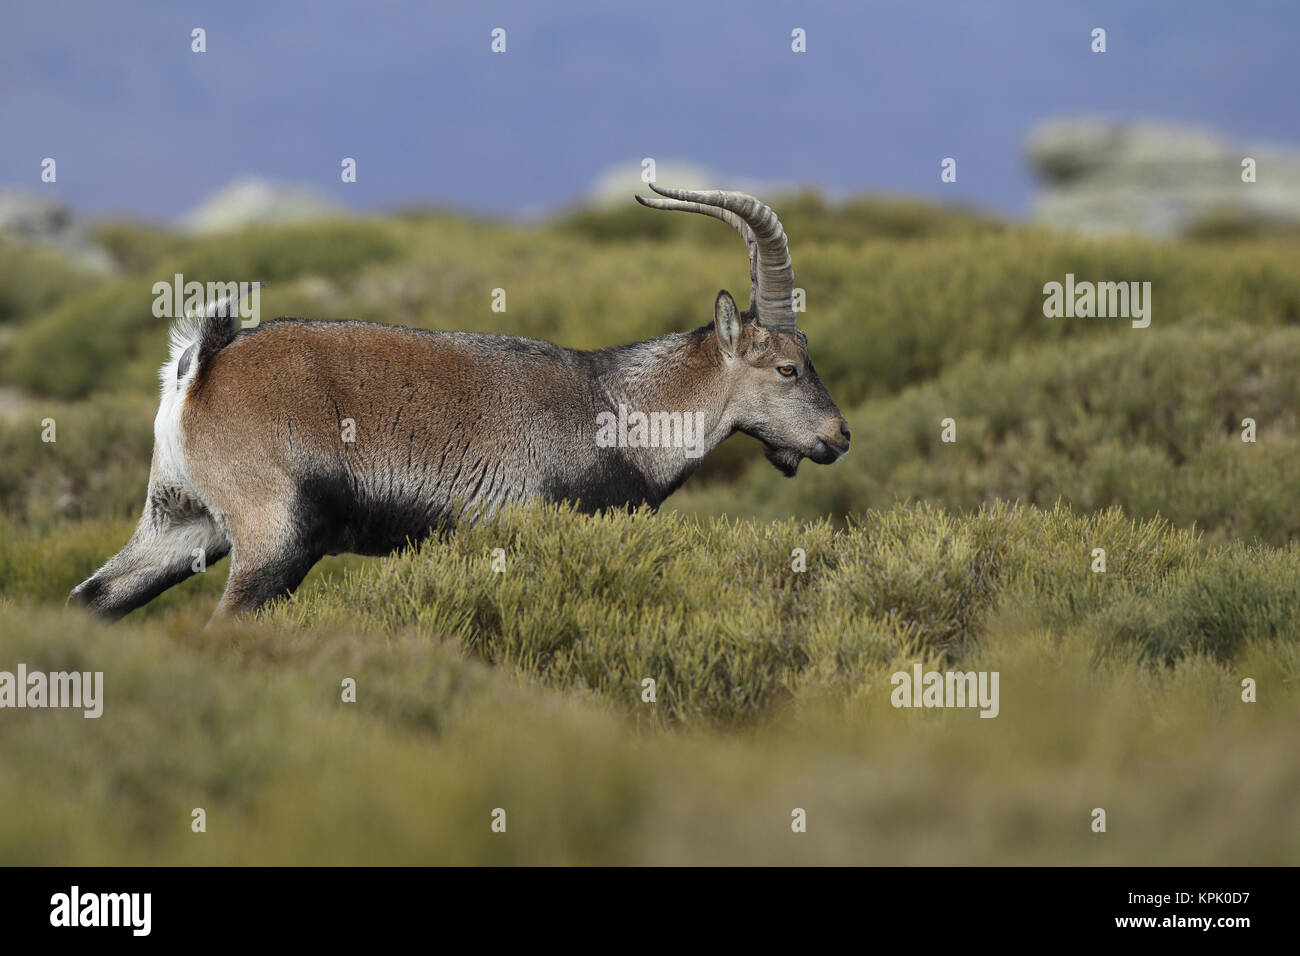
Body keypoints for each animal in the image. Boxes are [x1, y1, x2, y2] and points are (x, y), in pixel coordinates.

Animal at [76, 185, 857, 621]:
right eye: (788, 367)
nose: (839, 437)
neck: (622, 409)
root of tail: (198, 366)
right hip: (275, 536)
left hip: (182, 520)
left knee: (94, 600)